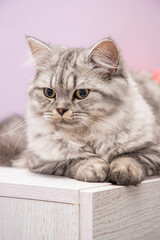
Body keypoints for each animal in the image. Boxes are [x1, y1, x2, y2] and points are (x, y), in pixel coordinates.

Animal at [0, 36, 160, 185]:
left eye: (82, 93)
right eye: (49, 93)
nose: (61, 110)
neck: (88, 134)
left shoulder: (154, 151)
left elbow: (129, 157)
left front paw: (124, 173)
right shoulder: (42, 160)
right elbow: (76, 160)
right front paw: (95, 168)